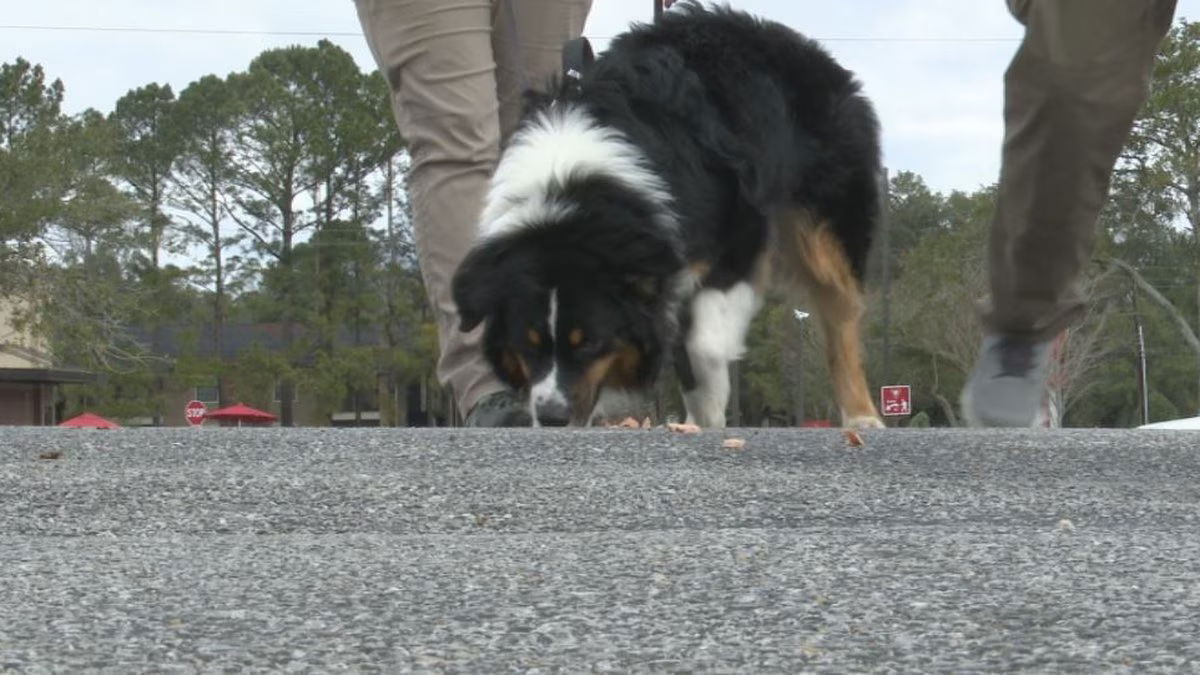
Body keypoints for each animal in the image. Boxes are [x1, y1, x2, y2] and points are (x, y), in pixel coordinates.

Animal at [451, 2, 883, 425]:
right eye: (528, 343)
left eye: (589, 342)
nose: (552, 417)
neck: (574, 187)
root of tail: (804, 46)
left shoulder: (739, 229)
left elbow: (704, 345)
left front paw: (709, 409)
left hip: (826, 229)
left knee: (841, 318)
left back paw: (861, 416)